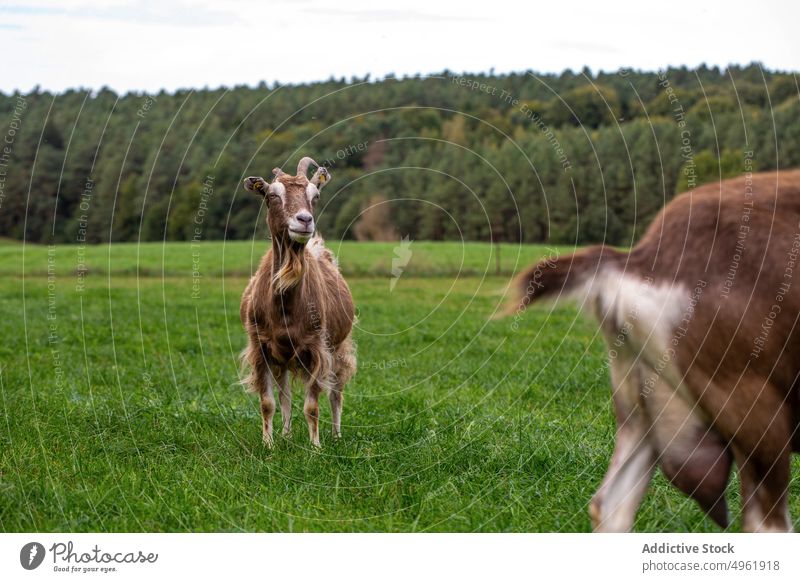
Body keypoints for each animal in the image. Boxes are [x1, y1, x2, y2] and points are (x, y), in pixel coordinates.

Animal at [239, 157, 358, 450]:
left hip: (338, 348)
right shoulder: (260, 348)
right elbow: (269, 402)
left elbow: (312, 406)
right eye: (271, 195)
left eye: (315, 196)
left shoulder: (316, 348)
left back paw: (336, 436)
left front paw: (316, 448)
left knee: (336, 392)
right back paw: (286, 434)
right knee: (285, 396)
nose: (304, 220)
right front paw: (269, 444)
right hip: (282, 357)